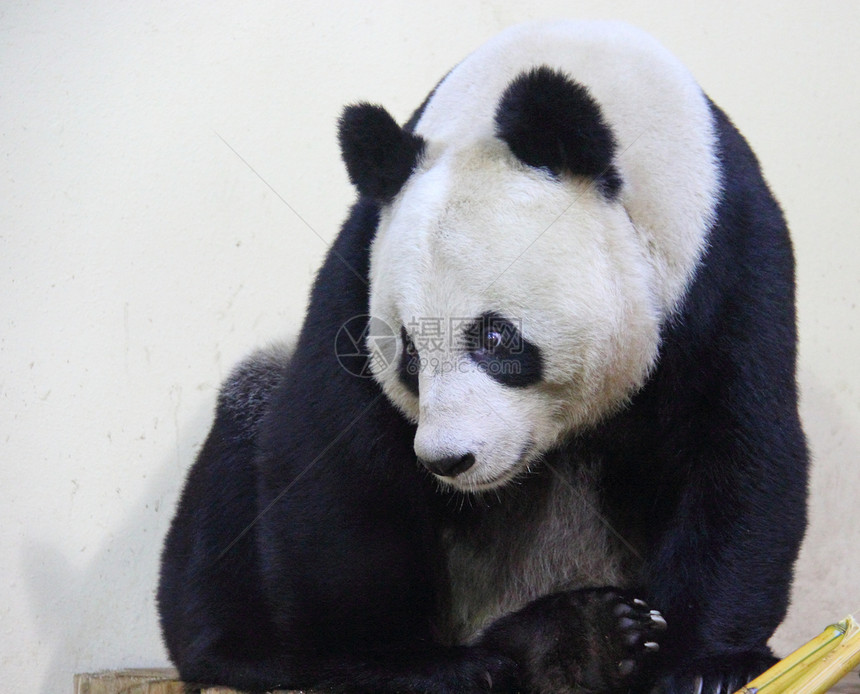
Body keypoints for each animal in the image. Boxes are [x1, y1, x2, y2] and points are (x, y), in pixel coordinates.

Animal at [158, 21, 808, 694]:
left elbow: (736, 450)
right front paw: (394, 664)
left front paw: (706, 663)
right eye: (409, 353)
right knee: (245, 430)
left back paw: (583, 643)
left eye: (496, 339)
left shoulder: (724, 262)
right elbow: (336, 458)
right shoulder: (362, 257)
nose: (448, 459)